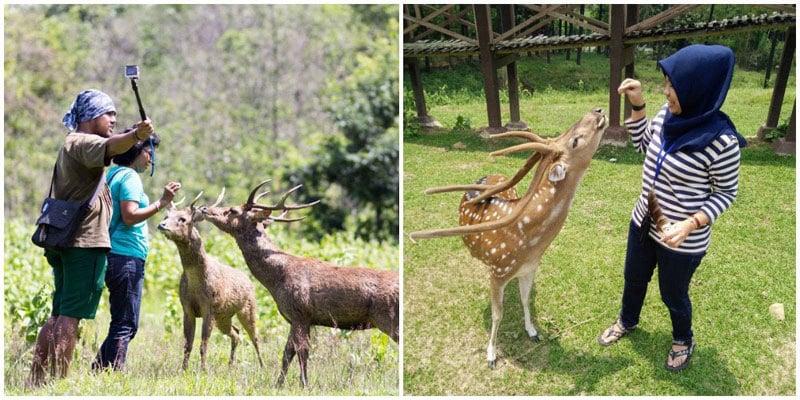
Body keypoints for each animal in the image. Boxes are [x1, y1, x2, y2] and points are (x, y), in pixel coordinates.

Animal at [157, 191, 265, 371]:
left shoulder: (210, 307)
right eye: (166, 216)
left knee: (255, 336)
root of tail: (249, 280)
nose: (161, 225)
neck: (196, 282)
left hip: (248, 307)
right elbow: (188, 344)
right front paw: (183, 369)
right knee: (236, 332)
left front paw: (203, 369)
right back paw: (230, 364)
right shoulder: (187, 308)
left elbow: (203, 344)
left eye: (183, 219)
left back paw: (262, 365)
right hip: (224, 316)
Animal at [195, 182, 399, 387]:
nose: (204, 208)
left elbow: (301, 351)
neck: (276, 279)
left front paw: (304, 384)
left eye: (233, 210)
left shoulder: (300, 312)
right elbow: (288, 352)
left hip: (386, 316)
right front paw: (279, 384)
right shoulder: (296, 318)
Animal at [409, 108, 608, 368]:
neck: (530, 243)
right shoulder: (498, 271)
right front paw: (491, 355)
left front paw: (532, 331)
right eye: (575, 140)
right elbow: (498, 313)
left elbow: (525, 300)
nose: (597, 111)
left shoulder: (530, 269)